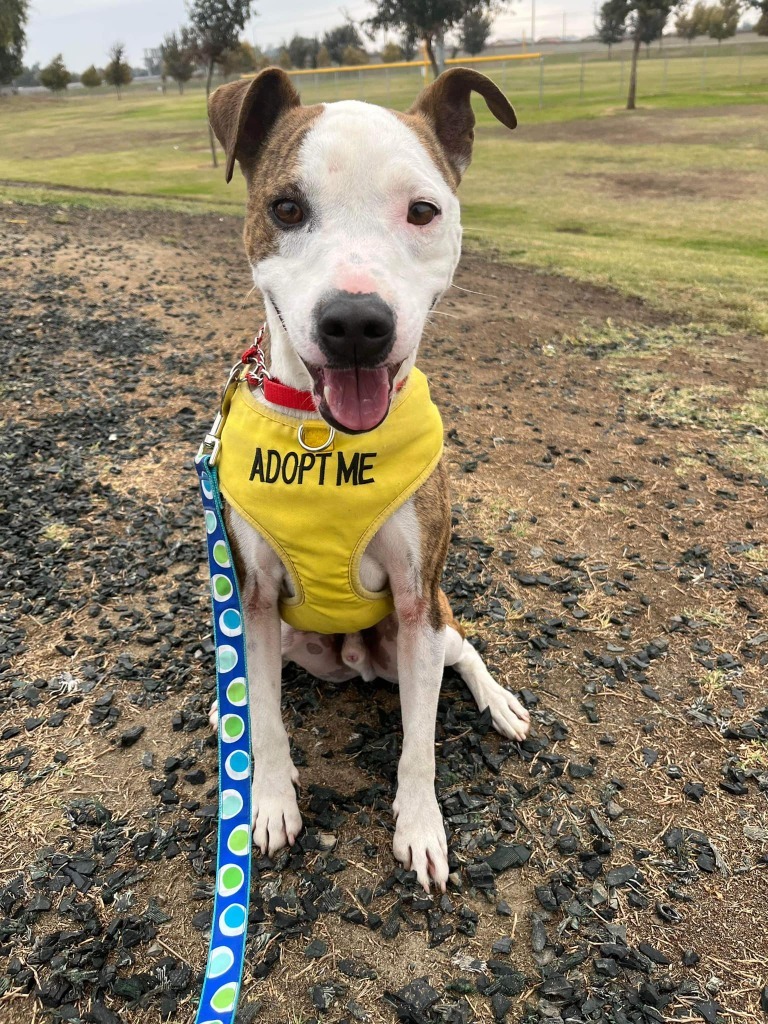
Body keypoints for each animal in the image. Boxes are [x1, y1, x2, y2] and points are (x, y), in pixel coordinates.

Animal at [207, 68, 532, 892]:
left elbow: (419, 745)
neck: (326, 439)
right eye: (286, 209)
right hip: (293, 636)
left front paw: (420, 827)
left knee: (462, 651)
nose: (356, 324)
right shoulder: (254, 601)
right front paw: (268, 800)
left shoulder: (417, 602)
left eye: (423, 211)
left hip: (430, 625)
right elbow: (262, 719)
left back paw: (500, 703)